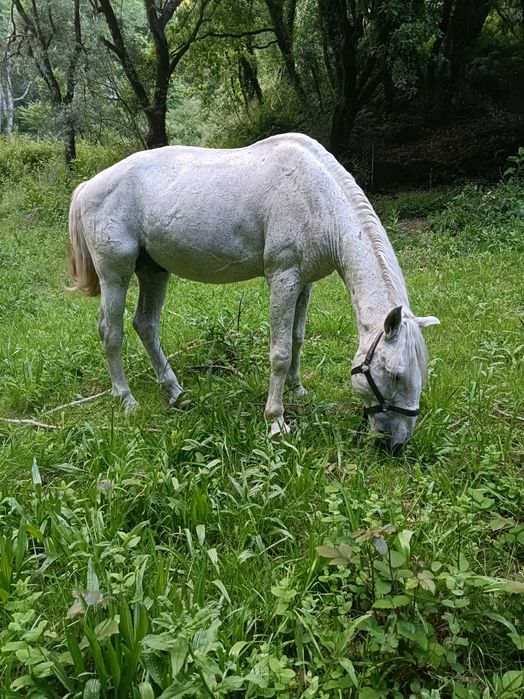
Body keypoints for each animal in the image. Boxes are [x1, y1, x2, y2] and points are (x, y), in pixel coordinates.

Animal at [68, 133, 439, 450]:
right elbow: (280, 352)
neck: (315, 196)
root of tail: (88, 186)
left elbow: (297, 338)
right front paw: (276, 421)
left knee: (145, 325)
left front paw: (297, 390)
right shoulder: (283, 279)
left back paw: (174, 391)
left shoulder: (305, 283)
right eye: (395, 374)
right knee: (111, 333)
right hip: (115, 275)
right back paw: (126, 399)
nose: (396, 444)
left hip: (154, 272)